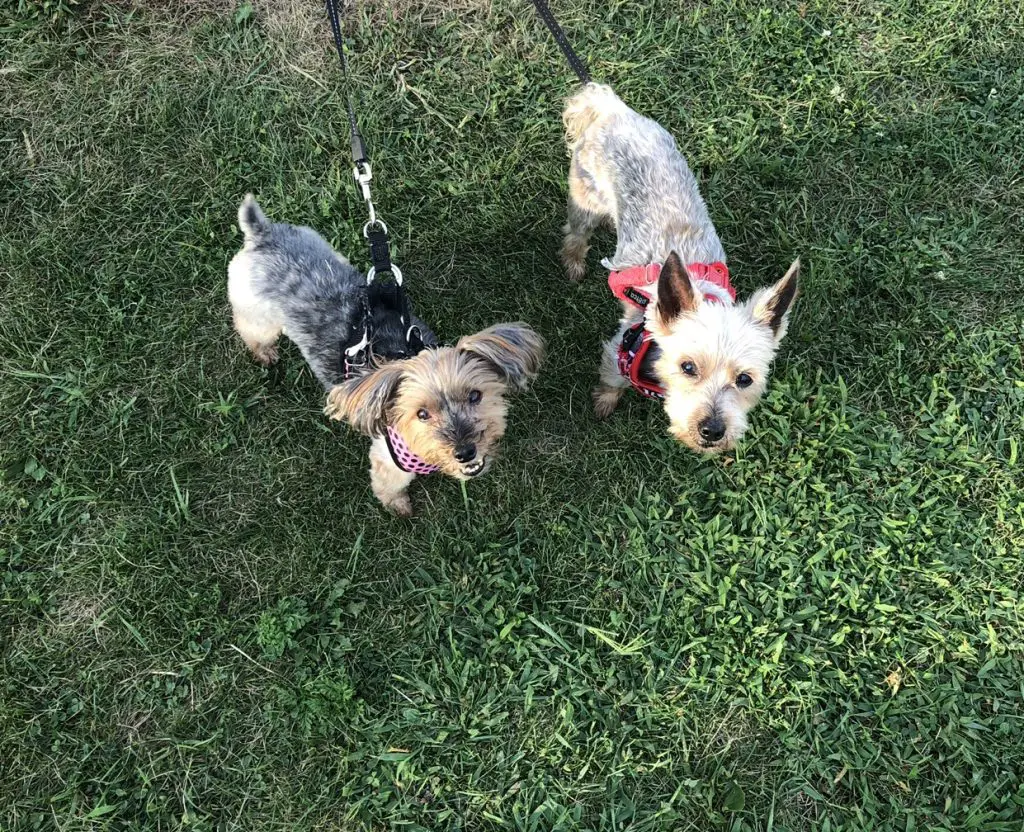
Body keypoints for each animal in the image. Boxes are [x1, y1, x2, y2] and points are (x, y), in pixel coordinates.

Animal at [229, 197, 548, 516]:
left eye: (475, 396)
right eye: (422, 414)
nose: (465, 451)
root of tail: (262, 233)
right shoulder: (388, 460)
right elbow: (388, 486)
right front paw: (398, 507)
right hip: (258, 315)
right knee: (249, 328)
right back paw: (264, 353)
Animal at [561, 82, 798, 454]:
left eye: (745, 379)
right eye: (688, 367)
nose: (712, 430)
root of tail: (612, 108)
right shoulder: (619, 351)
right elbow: (611, 380)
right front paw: (604, 402)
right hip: (585, 194)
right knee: (576, 232)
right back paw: (573, 263)